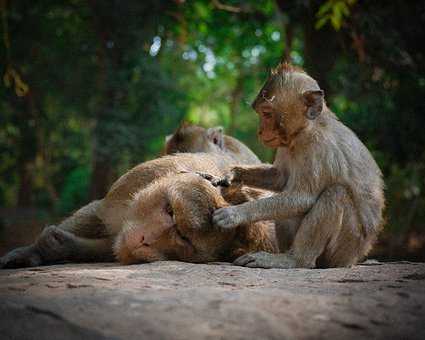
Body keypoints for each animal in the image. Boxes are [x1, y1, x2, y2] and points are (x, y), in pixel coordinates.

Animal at [0, 153, 274, 268]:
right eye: (170, 210)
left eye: (184, 238)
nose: (144, 239)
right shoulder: (135, 182)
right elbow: (98, 211)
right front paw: (34, 250)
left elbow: (113, 246)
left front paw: (61, 246)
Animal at [210, 63, 386, 268]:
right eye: (260, 113)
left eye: (267, 113)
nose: (260, 131)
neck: (305, 129)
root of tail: (356, 256)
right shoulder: (285, 144)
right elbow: (279, 178)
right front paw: (233, 175)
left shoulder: (317, 147)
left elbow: (303, 198)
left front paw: (236, 213)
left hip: (346, 246)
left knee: (335, 194)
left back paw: (294, 260)